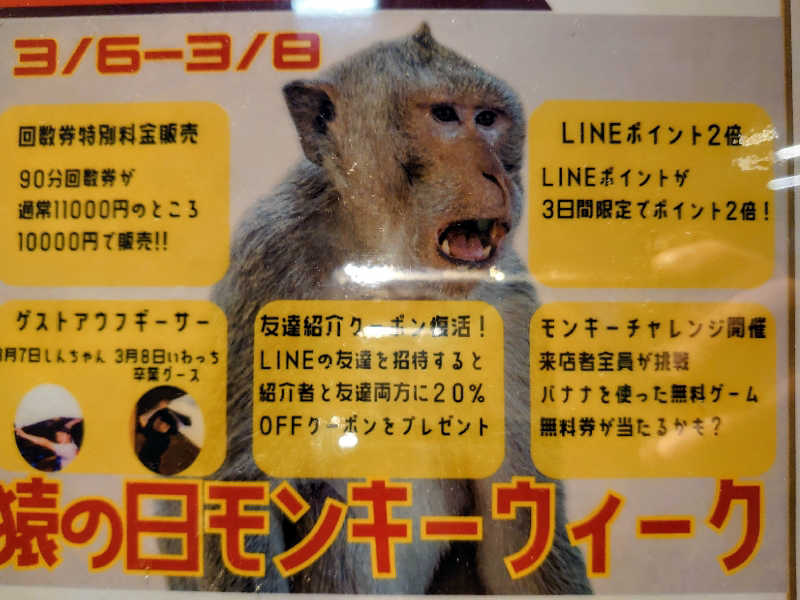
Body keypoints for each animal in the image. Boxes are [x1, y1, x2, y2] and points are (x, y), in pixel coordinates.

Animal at [178, 23, 591, 594]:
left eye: (487, 119)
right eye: (445, 115)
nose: (496, 176)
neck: (390, 277)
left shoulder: (507, 309)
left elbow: (520, 515)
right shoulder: (268, 266)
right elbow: (240, 486)